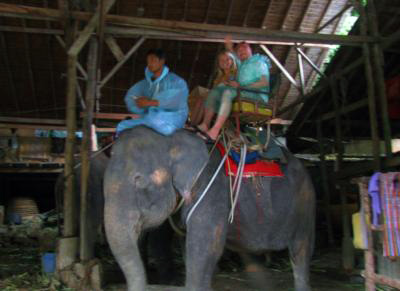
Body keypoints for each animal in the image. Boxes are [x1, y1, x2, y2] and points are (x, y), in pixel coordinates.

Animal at [103, 126, 316, 290]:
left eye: (139, 181)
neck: (174, 138)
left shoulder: (212, 193)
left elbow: (202, 249)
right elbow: (189, 247)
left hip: (304, 204)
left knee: (300, 251)